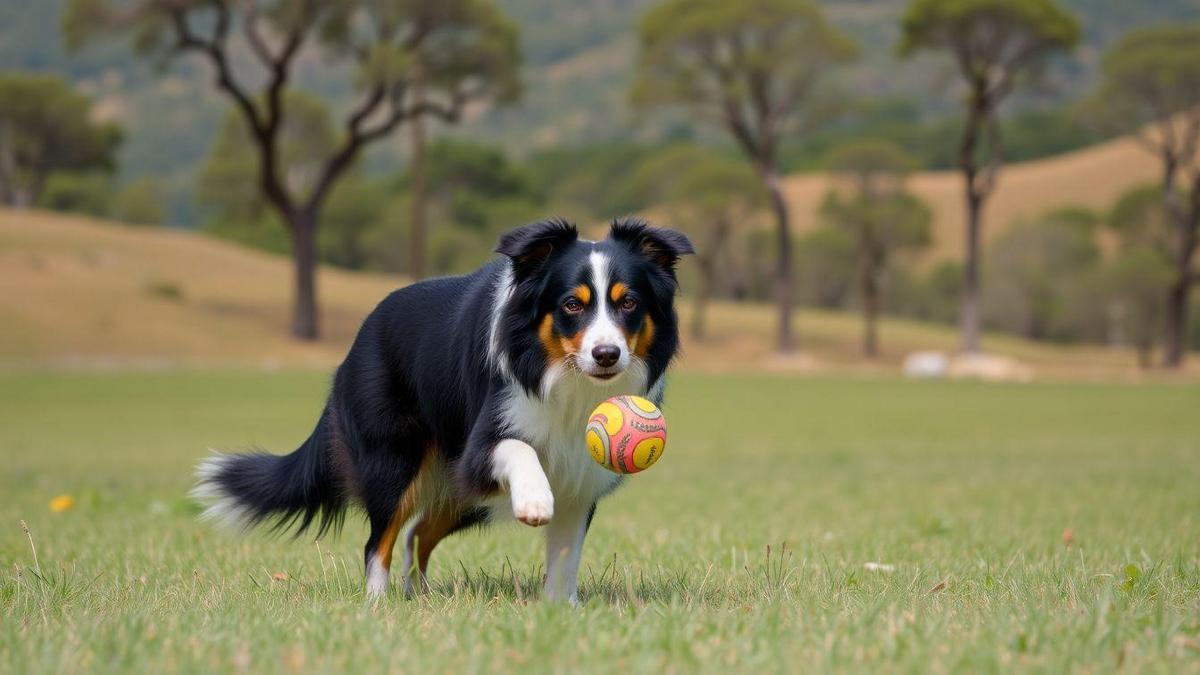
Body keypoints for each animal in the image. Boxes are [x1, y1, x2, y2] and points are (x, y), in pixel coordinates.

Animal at [195, 214, 696, 598]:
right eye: (572, 305)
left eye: (628, 303)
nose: (606, 354)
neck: (566, 380)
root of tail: (356, 343)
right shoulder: (481, 444)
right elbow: (520, 448)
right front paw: (535, 500)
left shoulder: (582, 473)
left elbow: (566, 554)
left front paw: (560, 609)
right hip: (395, 459)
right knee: (380, 540)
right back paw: (377, 603)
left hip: (463, 496)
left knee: (419, 531)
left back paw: (416, 593)